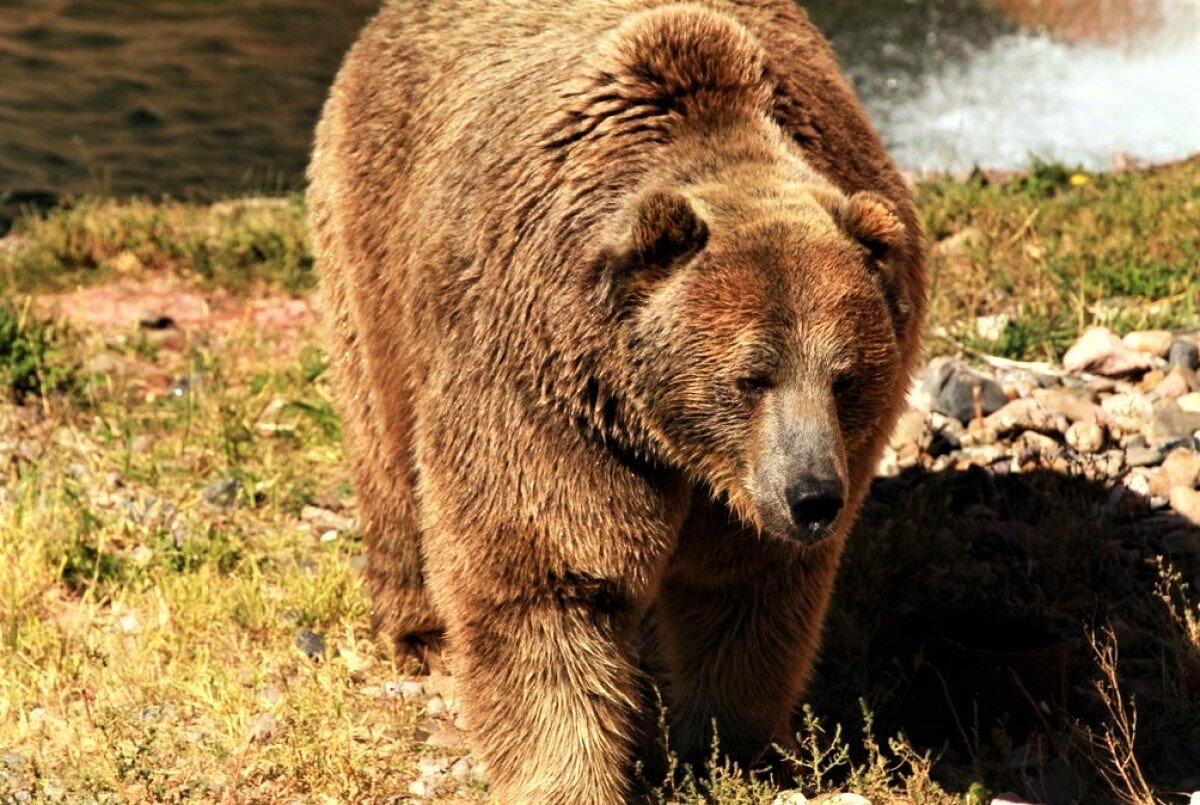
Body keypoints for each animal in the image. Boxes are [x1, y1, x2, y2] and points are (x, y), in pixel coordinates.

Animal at [309, 0, 926, 801]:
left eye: (846, 376)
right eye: (750, 376)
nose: (813, 496)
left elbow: (748, 591)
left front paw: (736, 748)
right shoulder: (546, 389)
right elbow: (546, 575)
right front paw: (566, 776)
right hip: (376, 239)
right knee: (386, 444)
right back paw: (419, 630)